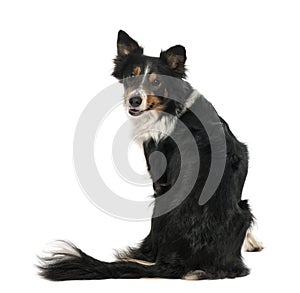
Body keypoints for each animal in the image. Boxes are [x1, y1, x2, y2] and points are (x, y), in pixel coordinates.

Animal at [38, 30, 262, 280]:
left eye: (156, 81)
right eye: (130, 76)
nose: (134, 100)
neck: (171, 105)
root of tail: (178, 260)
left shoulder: (158, 174)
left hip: (160, 203)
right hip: (244, 208)